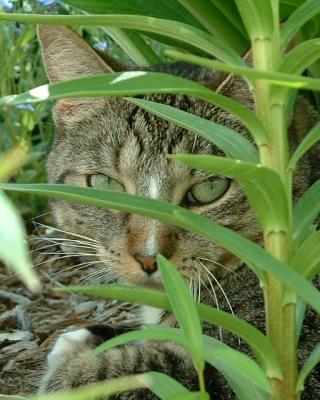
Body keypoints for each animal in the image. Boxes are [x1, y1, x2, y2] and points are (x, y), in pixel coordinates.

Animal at [37, 25, 318, 400]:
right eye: (104, 184)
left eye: (210, 188)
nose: (149, 257)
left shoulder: (254, 376)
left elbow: (121, 375)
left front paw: (77, 354)